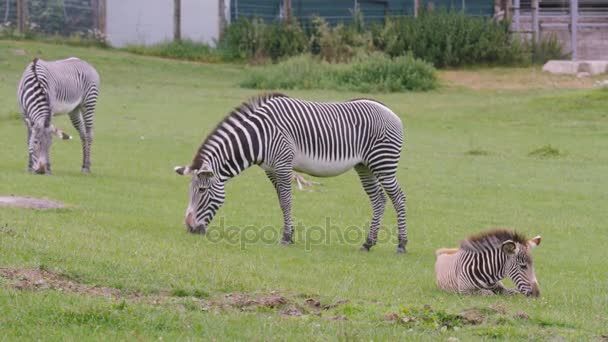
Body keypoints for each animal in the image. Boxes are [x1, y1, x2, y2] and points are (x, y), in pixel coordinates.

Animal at [172, 92, 408, 252]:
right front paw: (290, 234)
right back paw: (368, 243)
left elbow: (286, 201)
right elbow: (281, 201)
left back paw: (402, 245)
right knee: (379, 200)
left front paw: (286, 238)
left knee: (398, 198)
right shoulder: (271, 170)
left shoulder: (283, 164)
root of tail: (390, 111)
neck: (259, 137)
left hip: (383, 163)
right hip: (365, 166)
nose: (189, 228)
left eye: (202, 191)